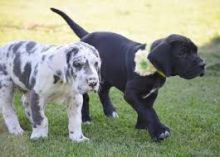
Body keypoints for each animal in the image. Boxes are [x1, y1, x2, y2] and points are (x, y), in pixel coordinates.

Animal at [50, 7, 205, 141]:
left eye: (195, 50)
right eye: (182, 53)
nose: (203, 65)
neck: (153, 69)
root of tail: (86, 35)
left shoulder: (152, 93)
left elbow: (146, 109)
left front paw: (142, 127)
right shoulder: (131, 93)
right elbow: (147, 110)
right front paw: (159, 131)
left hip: (107, 75)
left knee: (103, 91)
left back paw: (110, 112)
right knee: (86, 97)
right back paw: (86, 119)